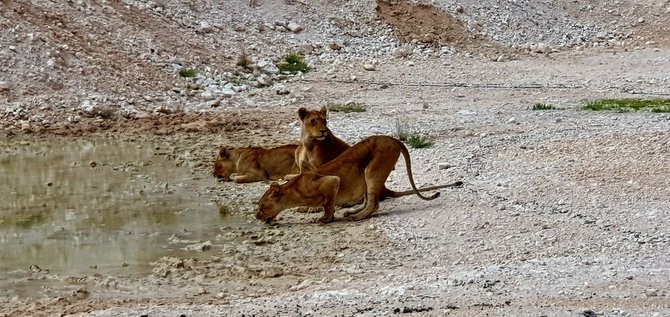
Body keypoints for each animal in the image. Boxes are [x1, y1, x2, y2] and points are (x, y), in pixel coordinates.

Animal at [255, 135, 464, 223]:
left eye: (262, 206)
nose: (257, 216)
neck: (294, 190)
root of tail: (394, 139)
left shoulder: (331, 181)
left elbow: (328, 204)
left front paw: (325, 219)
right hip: (365, 176)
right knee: (368, 200)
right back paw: (353, 212)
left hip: (372, 170)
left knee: (374, 204)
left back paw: (358, 216)